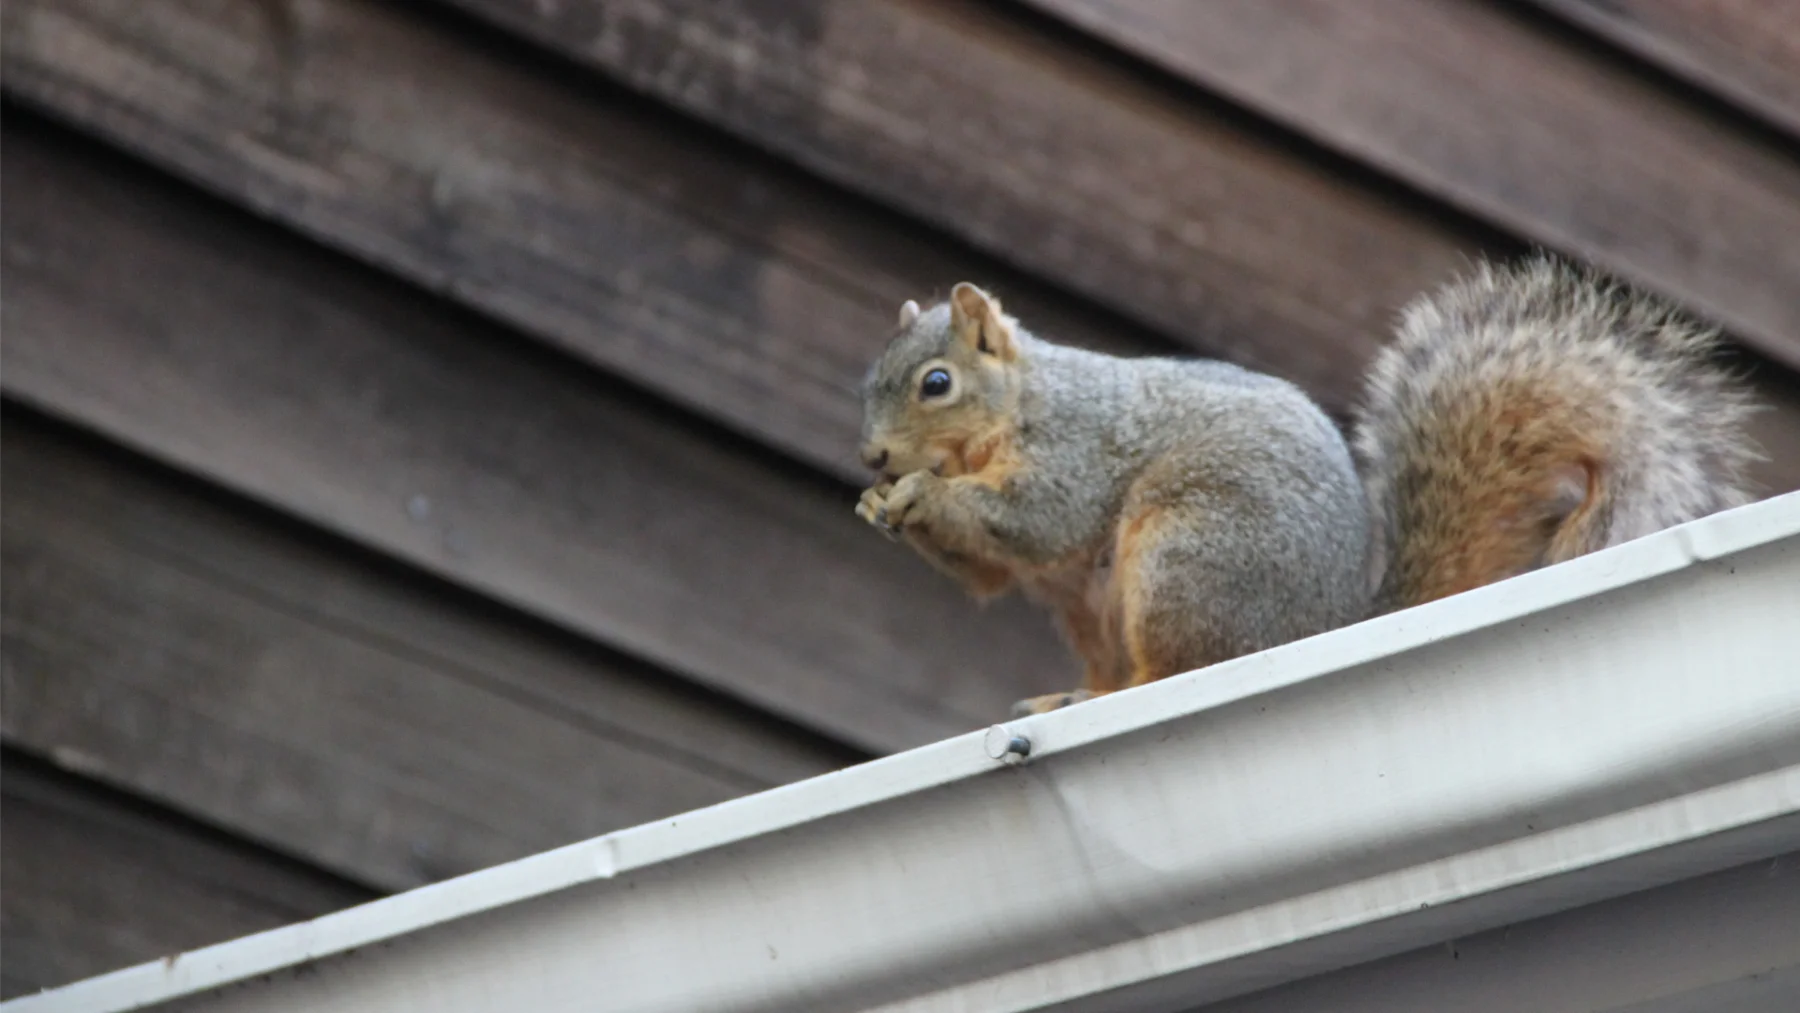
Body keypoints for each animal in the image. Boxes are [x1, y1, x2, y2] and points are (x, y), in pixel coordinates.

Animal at [856, 256, 1761, 716]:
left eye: (936, 383)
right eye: (869, 380)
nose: (871, 457)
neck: (1017, 405)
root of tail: (1325, 623)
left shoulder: (1077, 446)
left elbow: (1036, 519)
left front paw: (920, 495)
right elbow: (990, 573)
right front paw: (879, 506)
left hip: (1187, 558)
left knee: (1181, 665)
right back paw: (1068, 697)